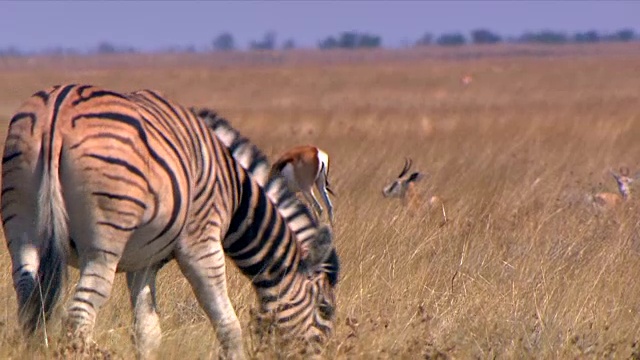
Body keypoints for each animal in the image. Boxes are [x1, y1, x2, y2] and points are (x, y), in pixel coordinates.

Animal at [1, 83, 340, 358]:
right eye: (325, 309)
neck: (234, 187)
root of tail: (58, 111)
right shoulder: (201, 243)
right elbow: (228, 324)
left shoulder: (142, 262)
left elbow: (147, 332)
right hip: (104, 242)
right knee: (79, 315)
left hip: (21, 224)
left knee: (28, 298)